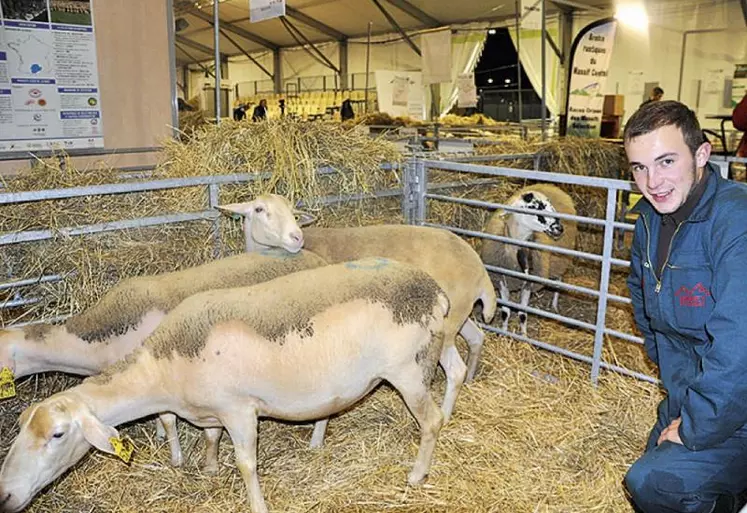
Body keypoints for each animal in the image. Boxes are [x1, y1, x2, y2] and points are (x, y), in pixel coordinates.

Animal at [0, 258, 450, 512]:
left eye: (58, 434)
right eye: (20, 429)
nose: (4, 497)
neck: (162, 366)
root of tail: (435, 288)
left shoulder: (239, 409)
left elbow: (246, 463)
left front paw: (256, 504)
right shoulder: (211, 410)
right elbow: (210, 438)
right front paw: (209, 467)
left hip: (409, 371)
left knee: (431, 422)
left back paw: (416, 475)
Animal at [219, 201, 500, 416]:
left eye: (293, 212)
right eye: (259, 209)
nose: (296, 236)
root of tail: (480, 271)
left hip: (443, 327)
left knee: (455, 370)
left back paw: (446, 412)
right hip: (456, 314)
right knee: (477, 337)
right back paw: (471, 377)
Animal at [480, 184, 580, 336]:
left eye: (550, 205)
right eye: (534, 207)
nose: (559, 228)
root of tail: (551, 186)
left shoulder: (529, 282)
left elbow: (522, 314)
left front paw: (524, 336)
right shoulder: (502, 280)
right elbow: (505, 312)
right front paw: (503, 332)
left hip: (561, 258)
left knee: (558, 281)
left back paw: (554, 305)